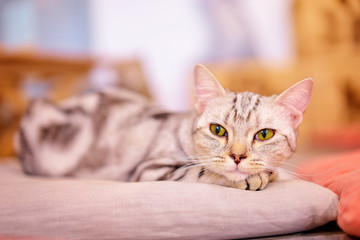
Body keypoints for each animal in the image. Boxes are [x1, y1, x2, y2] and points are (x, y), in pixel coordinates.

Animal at [14, 64, 312, 191]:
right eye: (218, 130)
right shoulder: (150, 171)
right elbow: (201, 172)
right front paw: (254, 177)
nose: (237, 156)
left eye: (264, 134)